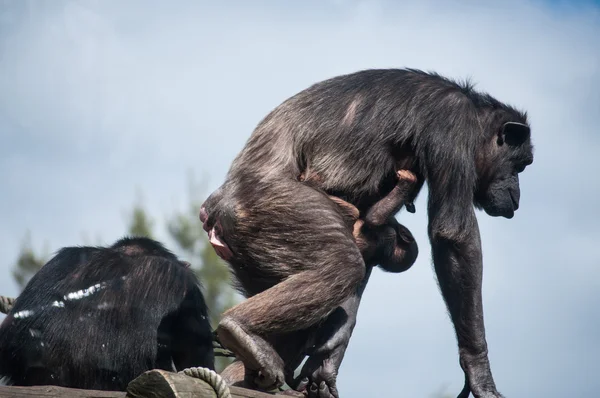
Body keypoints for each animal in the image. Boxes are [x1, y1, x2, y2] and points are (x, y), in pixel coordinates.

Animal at [202, 69, 536, 398]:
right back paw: (240, 330)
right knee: (342, 265)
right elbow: (453, 236)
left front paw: (325, 369)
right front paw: (479, 373)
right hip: (271, 208)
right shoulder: (452, 124)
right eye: (519, 166)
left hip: (253, 257)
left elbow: (367, 230)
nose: (517, 193)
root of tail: (212, 214)